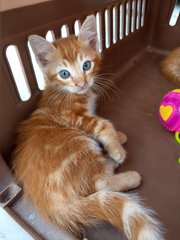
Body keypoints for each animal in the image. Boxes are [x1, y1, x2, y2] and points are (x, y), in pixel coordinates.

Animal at [13, 15, 165, 240]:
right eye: (64, 73)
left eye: (86, 65)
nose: (81, 83)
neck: (67, 92)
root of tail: (51, 207)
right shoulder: (75, 117)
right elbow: (102, 123)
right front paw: (117, 149)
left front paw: (118, 137)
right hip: (78, 143)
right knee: (100, 183)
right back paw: (121, 169)